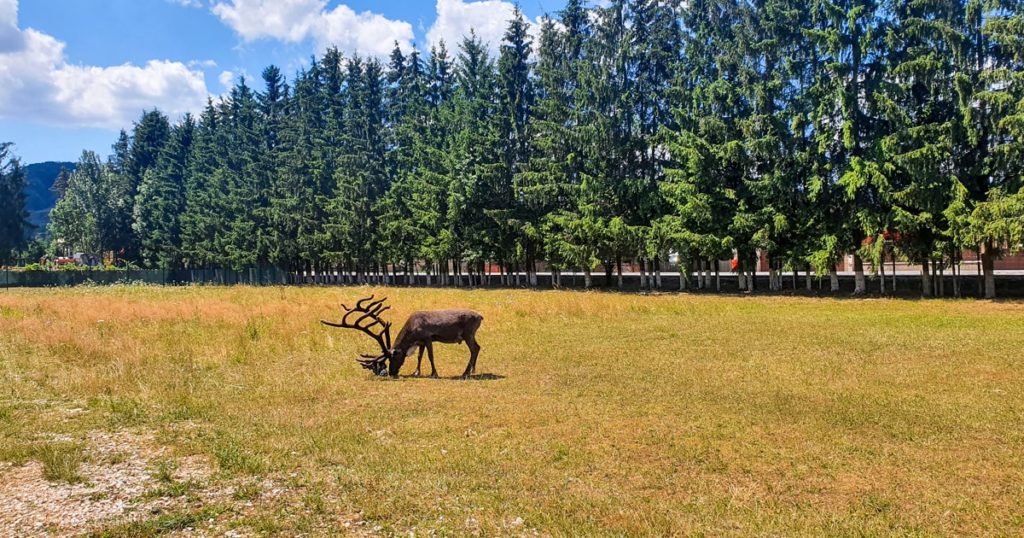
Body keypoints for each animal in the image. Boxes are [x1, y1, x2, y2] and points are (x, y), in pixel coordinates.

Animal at [321, 295, 485, 379]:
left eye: (393, 358)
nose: (392, 373)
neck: (412, 331)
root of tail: (481, 316)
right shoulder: (421, 342)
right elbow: (419, 356)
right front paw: (416, 372)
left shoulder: (427, 337)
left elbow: (430, 356)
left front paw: (434, 373)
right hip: (469, 334)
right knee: (478, 347)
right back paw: (472, 370)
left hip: (468, 333)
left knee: (474, 349)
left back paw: (466, 372)